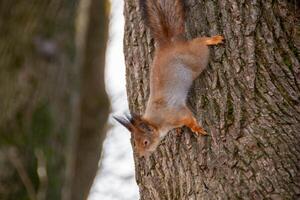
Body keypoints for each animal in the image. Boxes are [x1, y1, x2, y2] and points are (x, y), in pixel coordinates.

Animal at [113, 0, 224, 157]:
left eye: (145, 142)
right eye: (135, 142)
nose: (141, 155)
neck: (158, 121)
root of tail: (169, 44)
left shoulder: (177, 113)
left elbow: (189, 119)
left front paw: (195, 128)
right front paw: (179, 131)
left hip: (198, 59)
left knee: (200, 43)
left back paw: (212, 40)